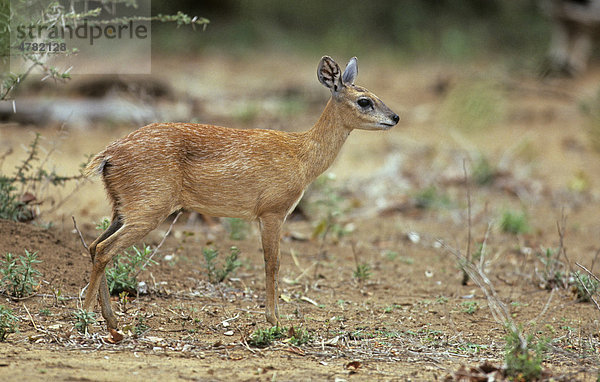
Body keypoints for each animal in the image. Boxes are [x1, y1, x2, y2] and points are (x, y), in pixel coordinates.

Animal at [79, 56, 398, 328]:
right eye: (364, 101)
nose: (395, 117)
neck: (302, 157)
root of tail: (107, 156)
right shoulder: (272, 210)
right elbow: (272, 263)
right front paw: (274, 319)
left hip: (123, 207)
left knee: (95, 245)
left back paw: (111, 320)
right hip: (149, 206)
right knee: (105, 249)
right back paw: (85, 316)